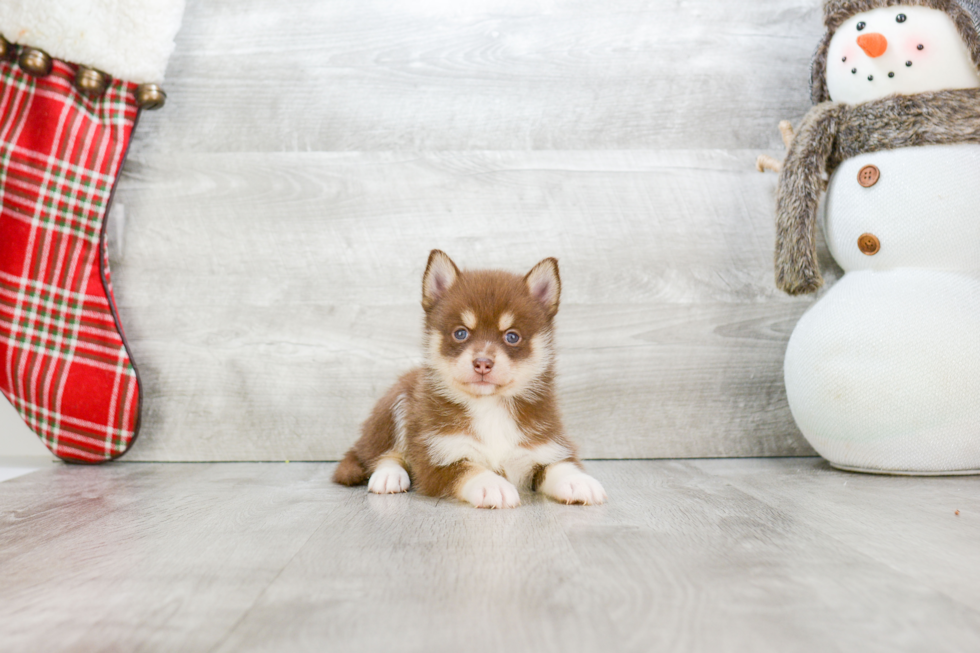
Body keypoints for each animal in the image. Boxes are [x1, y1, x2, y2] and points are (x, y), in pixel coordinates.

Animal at [334, 250, 604, 510]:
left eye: (512, 336)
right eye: (461, 333)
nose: (482, 362)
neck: (490, 407)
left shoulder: (544, 445)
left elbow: (559, 465)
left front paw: (577, 480)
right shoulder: (436, 457)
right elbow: (469, 469)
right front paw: (492, 485)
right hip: (395, 404)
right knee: (380, 453)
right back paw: (389, 475)